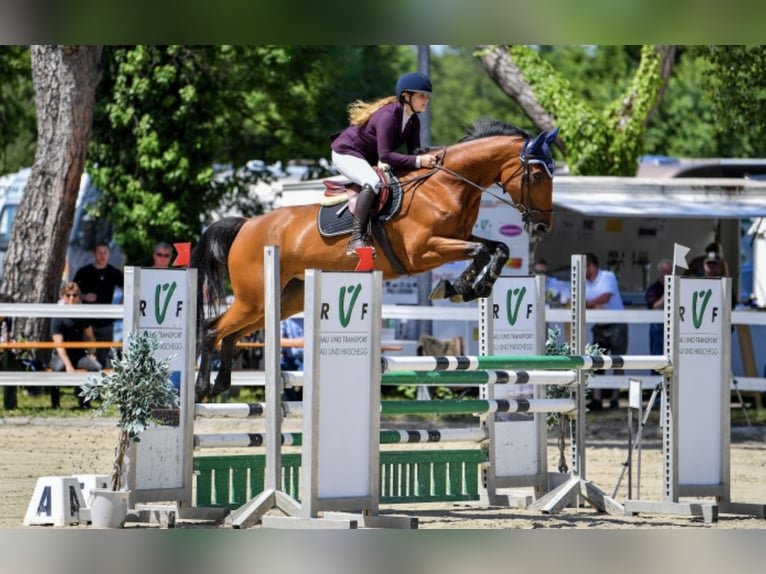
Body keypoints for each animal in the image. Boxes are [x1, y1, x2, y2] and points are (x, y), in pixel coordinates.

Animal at [192, 119, 559, 401]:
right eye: (537, 176)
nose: (542, 227)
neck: (447, 185)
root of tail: (246, 225)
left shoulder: (460, 238)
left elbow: (499, 248)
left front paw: (467, 288)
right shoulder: (423, 251)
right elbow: (483, 252)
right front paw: (458, 287)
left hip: (281, 299)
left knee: (231, 333)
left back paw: (221, 384)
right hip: (254, 298)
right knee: (212, 329)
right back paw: (202, 388)